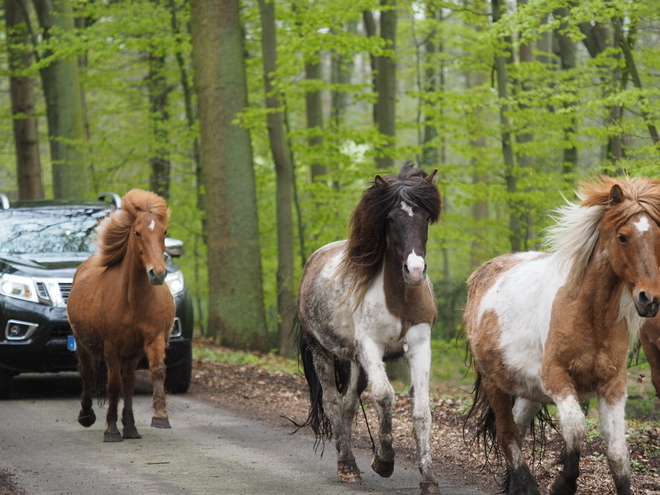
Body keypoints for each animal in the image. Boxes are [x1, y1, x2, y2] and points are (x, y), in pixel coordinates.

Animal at [67, 189, 175, 442]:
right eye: (137, 232)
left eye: (164, 232)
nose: (158, 274)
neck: (133, 302)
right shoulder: (111, 347)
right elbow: (113, 386)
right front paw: (111, 430)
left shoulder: (153, 339)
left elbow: (156, 371)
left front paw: (160, 416)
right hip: (83, 343)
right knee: (88, 373)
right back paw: (87, 416)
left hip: (131, 353)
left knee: (128, 382)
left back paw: (131, 427)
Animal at [300, 162, 444, 492]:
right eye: (390, 219)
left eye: (425, 217)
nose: (414, 271)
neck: (399, 299)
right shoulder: (371, 347)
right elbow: (384, 396)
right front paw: (385, 461)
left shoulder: (420, 346)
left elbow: (421, 412)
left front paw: (429, 479)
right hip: (321, 351)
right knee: (332, 403)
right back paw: (347, 465)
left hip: (355, 361)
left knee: (350, 403)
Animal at [462, 178, 660, 495]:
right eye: (622, 237)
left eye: (658, 237)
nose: (649, 300)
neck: (589, 315)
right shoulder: (557, 378)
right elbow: (576, 428)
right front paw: (563, 484)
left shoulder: (613, 385)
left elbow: (618, 452)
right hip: (496, 384)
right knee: (507, 435)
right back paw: (527, 485)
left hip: (530, 390)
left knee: (517, 428)